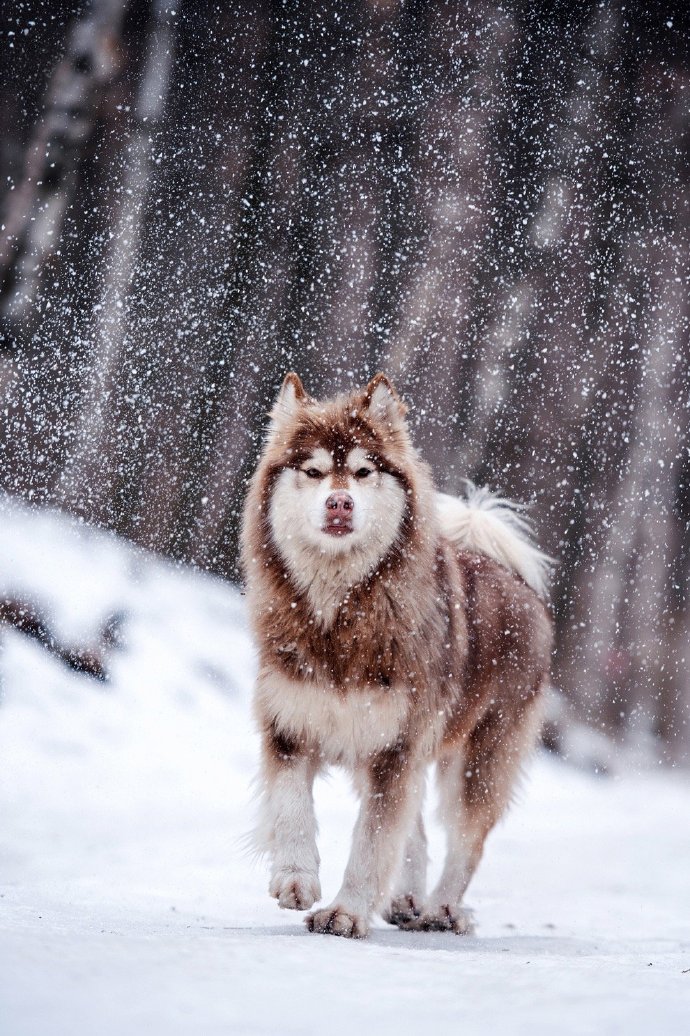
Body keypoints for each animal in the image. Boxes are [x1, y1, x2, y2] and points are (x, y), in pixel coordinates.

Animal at [239, 372, 551, 940]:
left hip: (480, 758)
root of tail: (510, 575)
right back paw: (406, 898)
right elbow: (293, 808)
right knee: (419, 830)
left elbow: (373, 841)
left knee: (466, 840)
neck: (340, 616)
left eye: (364, 471)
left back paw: (442, 909)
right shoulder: (291, 720)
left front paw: (345, 912)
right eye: (314, 471)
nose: (339, 503)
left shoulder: (395, 745)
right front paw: (295, 878)